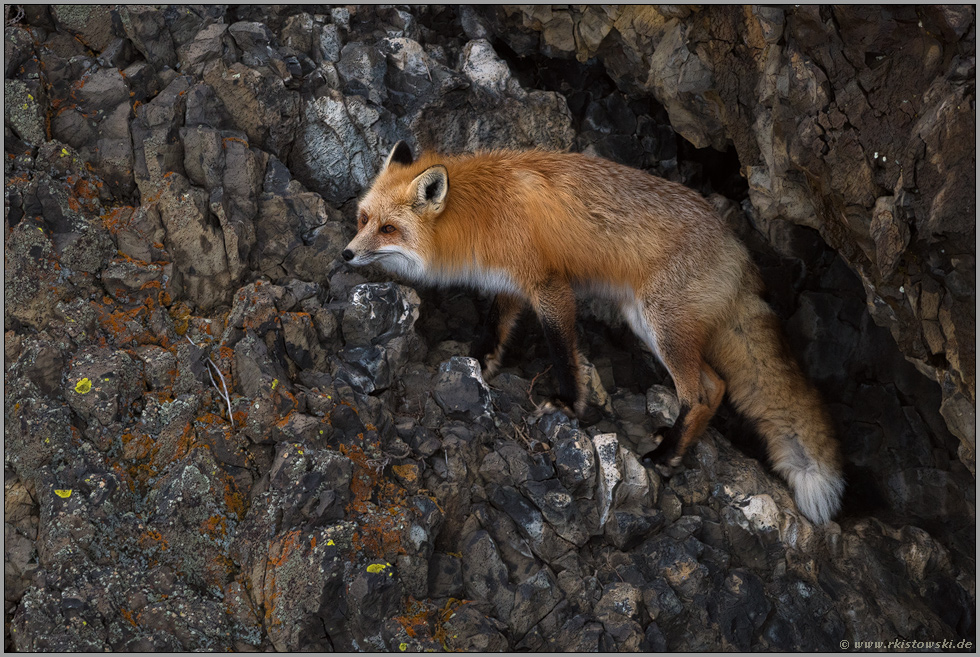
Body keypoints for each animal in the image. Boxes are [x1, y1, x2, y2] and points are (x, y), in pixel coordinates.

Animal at [342, 140, 844, 524]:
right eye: (364, 219)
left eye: (389, 228)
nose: (346, 254)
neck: (481, 210)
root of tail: (740, 253)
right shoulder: (510, 283)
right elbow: (495, 325)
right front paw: (482, 361)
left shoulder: (550, 286)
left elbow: (563, 349)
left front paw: (568, 403)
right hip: (646, 323)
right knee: (717, 384)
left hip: (662, 325)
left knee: (701, 392)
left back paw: (666, 457)